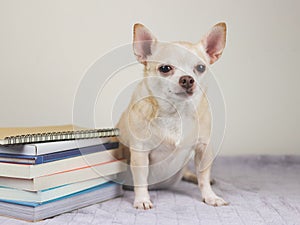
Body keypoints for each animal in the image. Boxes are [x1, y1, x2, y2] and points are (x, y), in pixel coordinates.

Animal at [116, 22, 227, 209]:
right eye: (165, 68)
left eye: (201, 68)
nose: (187, 79)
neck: (176, 111)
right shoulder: (140, 152)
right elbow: (141, 179)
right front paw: (142, 199)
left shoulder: (203, 148)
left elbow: (203, 176)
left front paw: (210, 196)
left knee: (191, 173)